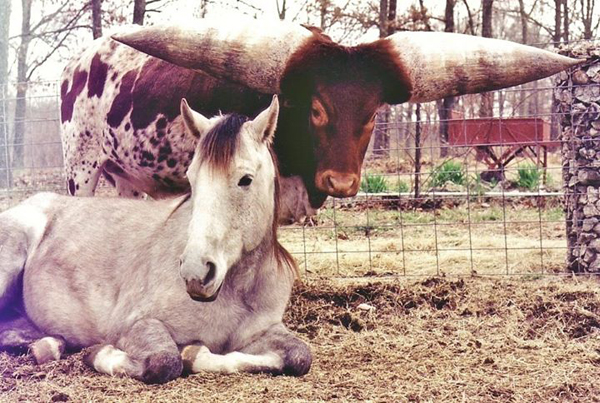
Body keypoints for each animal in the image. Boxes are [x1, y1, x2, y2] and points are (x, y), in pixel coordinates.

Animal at [0, 97, 310, 386]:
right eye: (192, 179)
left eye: (246, 179)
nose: (196, 273)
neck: (237, 291)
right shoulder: (135, 325)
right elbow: (165, 361)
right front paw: (102, 354)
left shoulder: (264, 332)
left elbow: (300, 356)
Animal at [59, 19, 576, 223]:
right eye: (315, 107)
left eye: (372, 114)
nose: (341, 182)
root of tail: (78, 62)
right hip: (80, 169)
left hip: (127, 177)